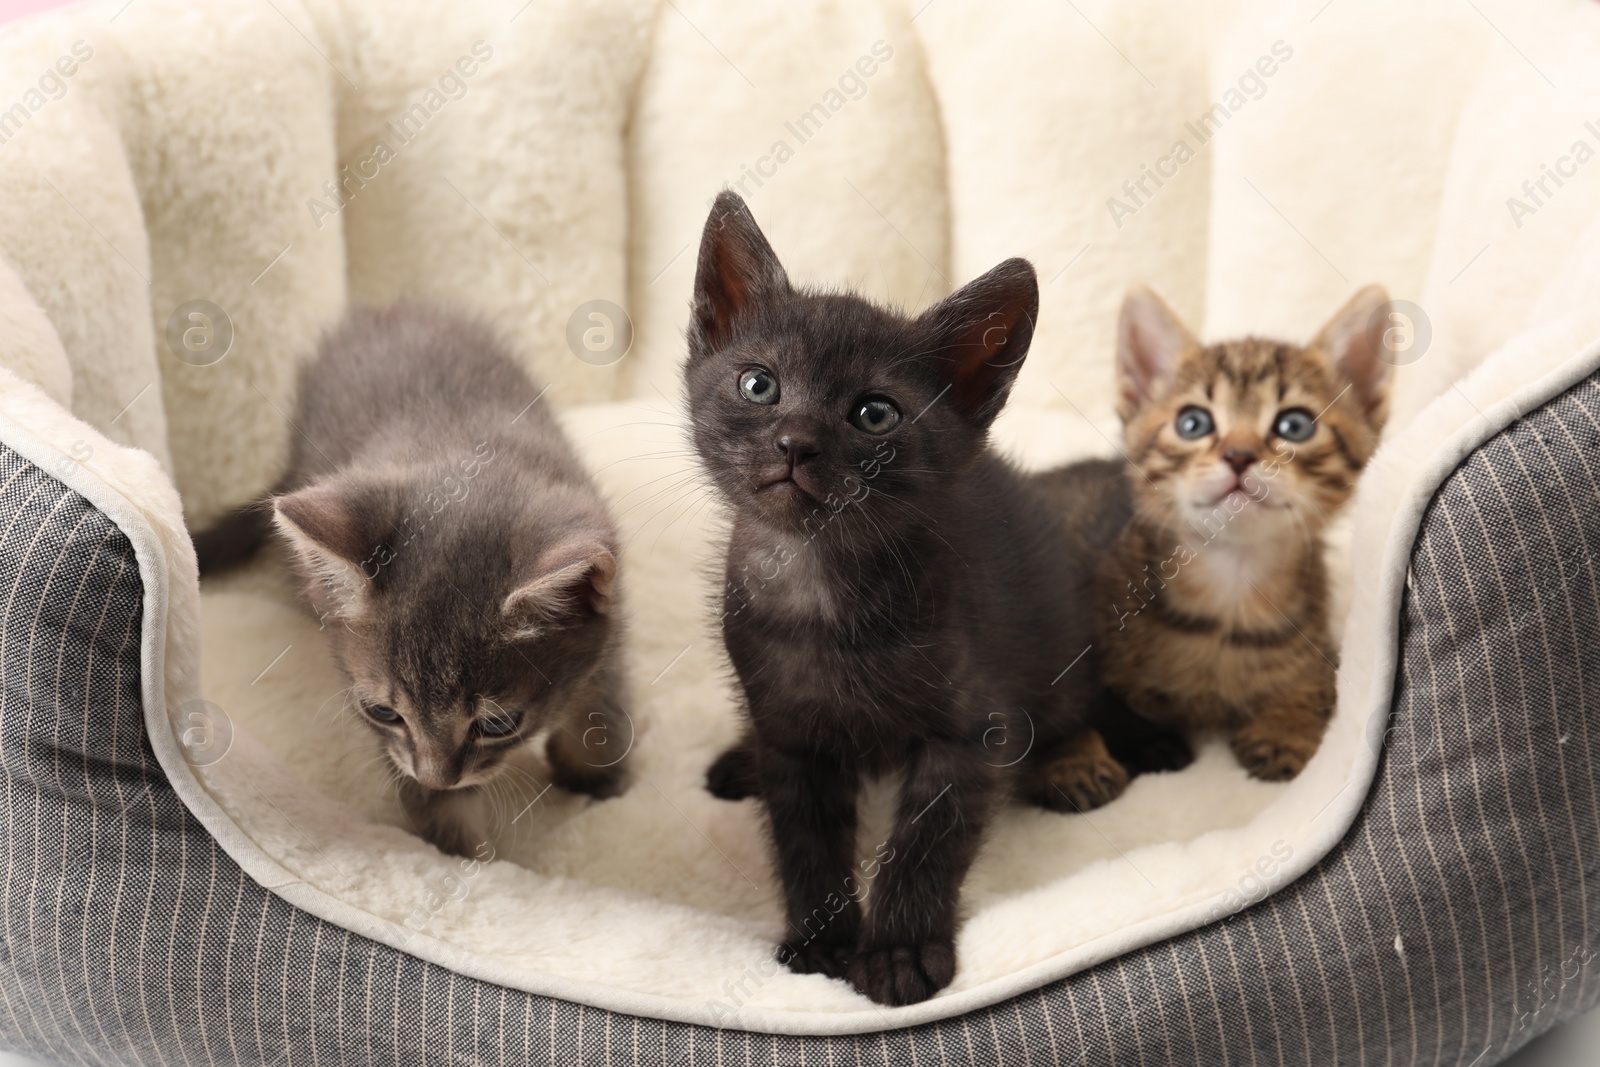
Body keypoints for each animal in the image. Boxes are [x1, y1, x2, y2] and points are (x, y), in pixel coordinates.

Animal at [190, 303, 627, 857]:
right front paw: (467, 856)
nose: (437, 776)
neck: (463, 458)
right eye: (382, 712)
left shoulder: (609, 608)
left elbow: (604, 700)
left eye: (497, 724)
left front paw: (599, 776)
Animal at [688, 194, 1100, 1011]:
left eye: (875, 414)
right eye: (759, 385)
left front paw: (899, 951)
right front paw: (823, 941)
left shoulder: (973, 729)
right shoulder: (792, 732)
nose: (795, 442)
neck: (819, 585)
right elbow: (805, 834)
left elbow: (925, 840)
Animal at [1043, 283, 1395, 793]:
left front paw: (1284, 731)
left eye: (1294, 425)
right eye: (1193, 423)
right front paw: (1074, 763)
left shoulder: (1320, 648)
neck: (1231, 593)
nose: (1239, 455)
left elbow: (1315, 688)